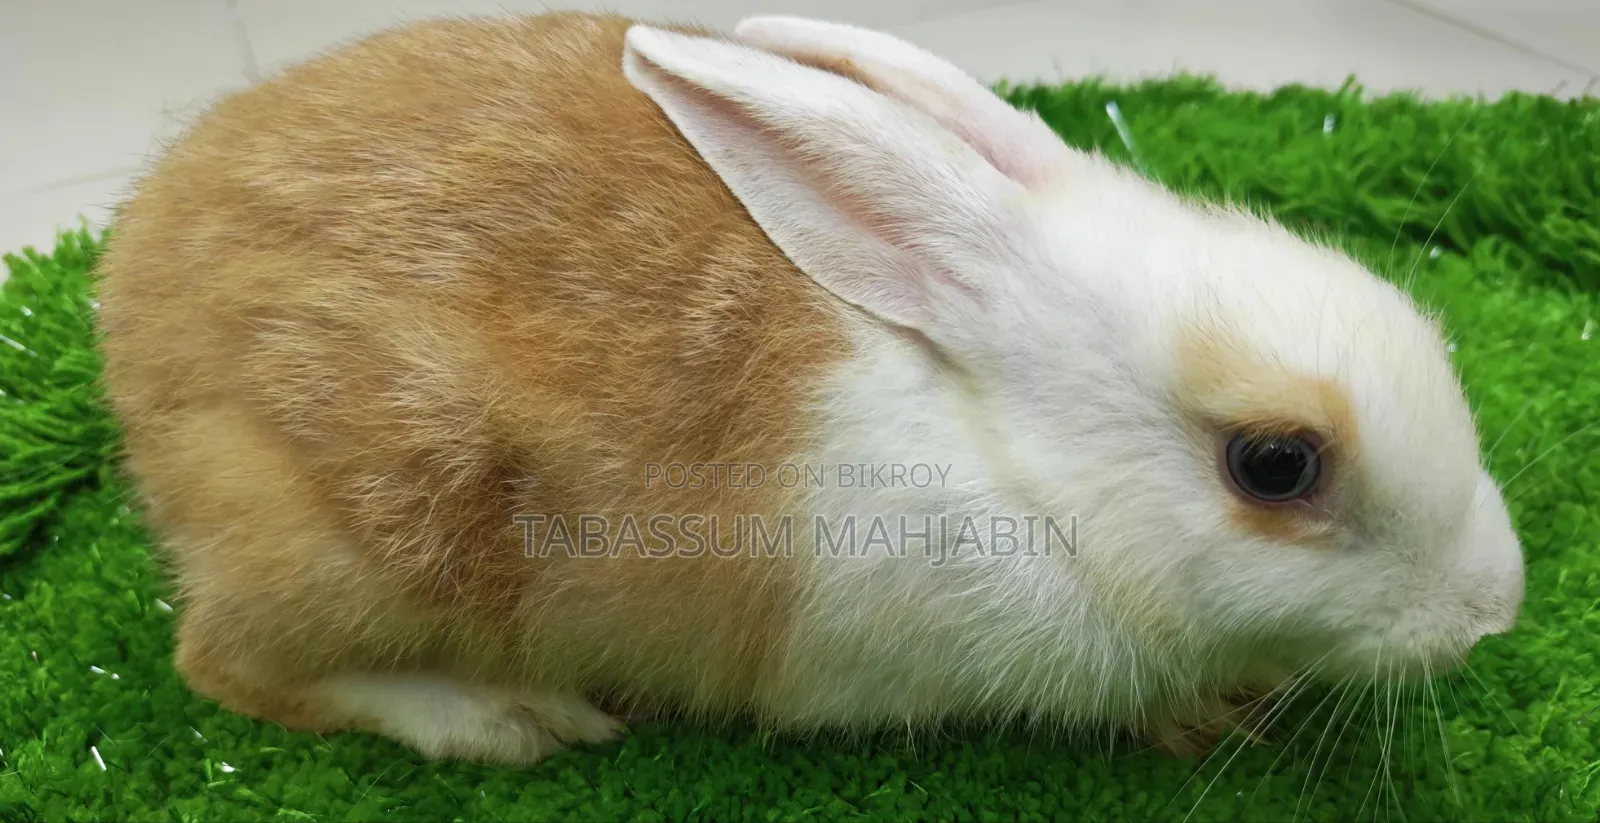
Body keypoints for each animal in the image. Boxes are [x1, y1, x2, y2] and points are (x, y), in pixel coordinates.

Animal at [94, 10, 1525, 766]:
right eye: (1275, 463)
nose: (1493, 608)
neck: (1021, 460)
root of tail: (129, 305)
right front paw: (1209, 716)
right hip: (355, 545)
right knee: (228, 665)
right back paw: (506, 720)